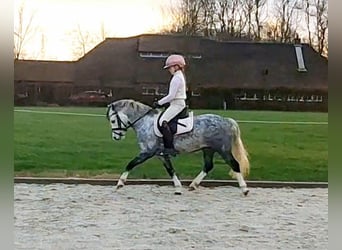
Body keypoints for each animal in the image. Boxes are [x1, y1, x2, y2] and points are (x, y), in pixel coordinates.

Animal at [105, 99, 250, 195]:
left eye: (113, 120)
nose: (116, 137)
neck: (145, 123)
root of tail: (227, 121)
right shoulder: (161, 155)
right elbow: (170, 170)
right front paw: (178, 188)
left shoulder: (147, 152)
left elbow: (131, 164)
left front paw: (120, 183)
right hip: (208, 149)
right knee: (208, 166)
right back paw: (193, 185)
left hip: (223, 149)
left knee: (234, 164)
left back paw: (244, 189)